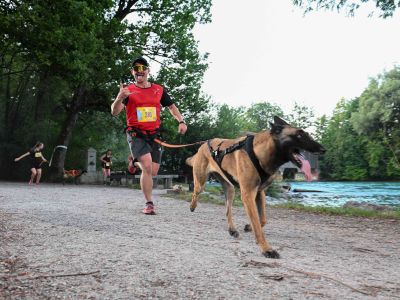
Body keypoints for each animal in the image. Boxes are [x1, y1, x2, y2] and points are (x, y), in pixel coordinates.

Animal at [187, 116, 324, 258]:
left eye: (306, 134)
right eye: (299, 135)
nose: (323, 149)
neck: (260, 153)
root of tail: (204, 144)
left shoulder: (259, 192)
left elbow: (262, 220)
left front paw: (249, 227)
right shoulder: (248, 195)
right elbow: (258, 225)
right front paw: (267, 249)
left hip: (230, 190)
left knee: (227, 210)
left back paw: (232, 230)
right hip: (201, 182)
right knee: (195, 191)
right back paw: (192, 206)